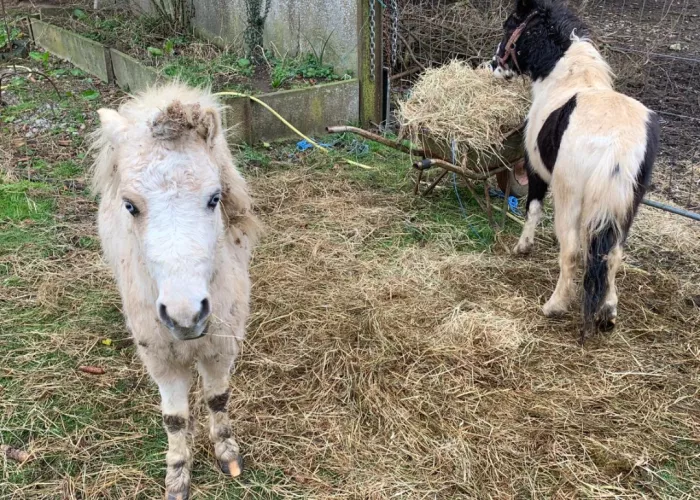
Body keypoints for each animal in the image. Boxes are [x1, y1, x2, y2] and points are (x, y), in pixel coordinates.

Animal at [91, 82, 261, 499]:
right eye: (130, 206)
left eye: (214, 198)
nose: (186, 315)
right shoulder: (160, 357)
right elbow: (174, 418)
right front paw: (178, 475)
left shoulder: (221, 344)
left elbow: (217, 398)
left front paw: (228, 456)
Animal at [489, 0, 660, 341]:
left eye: (509, 25)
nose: (492, 64)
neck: (567, 78)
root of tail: (618, 141)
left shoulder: (535, 170)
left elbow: (533, 208)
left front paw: (522, 247)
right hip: (626, 209)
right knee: (612, 255)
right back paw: (607, 313)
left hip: (570, 198)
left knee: (571, 252)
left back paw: (554, 306)